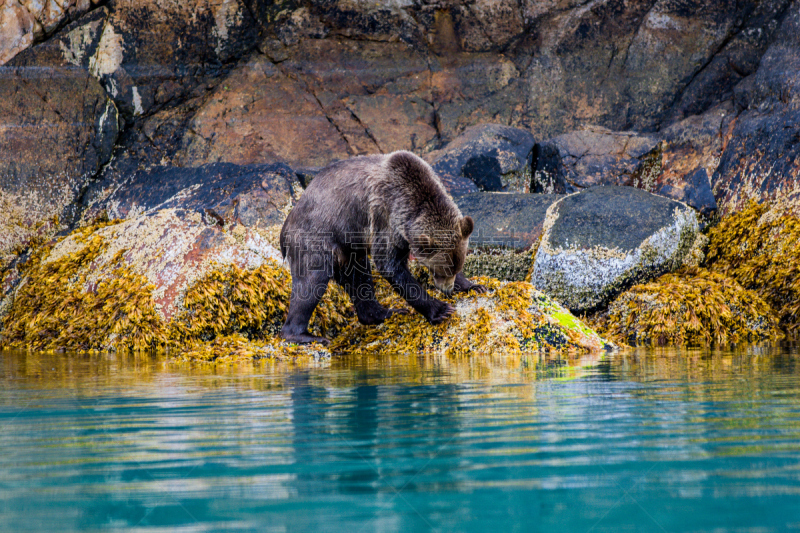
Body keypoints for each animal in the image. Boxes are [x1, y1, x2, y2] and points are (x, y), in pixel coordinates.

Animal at [278, 150, 484, 344]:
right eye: (440, 271)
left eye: (455, 268)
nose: (447, 289)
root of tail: (286, 223)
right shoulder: (385, 216)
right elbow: (389, 265)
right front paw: (441, 309)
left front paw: (474, 286)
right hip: (316, 237)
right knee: (312, 281)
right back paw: (303, 335)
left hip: (347, 247)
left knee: (358, 277)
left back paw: (388, 312)